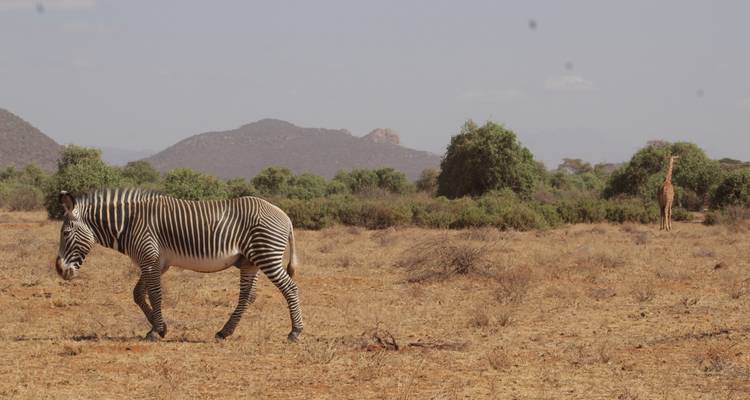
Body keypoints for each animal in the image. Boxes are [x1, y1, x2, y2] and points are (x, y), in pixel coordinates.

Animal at [54, 188, 303, 342]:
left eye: (65, 233)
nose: (60, 270)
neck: (129, 223)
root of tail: (284, 215)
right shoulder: (154, 262)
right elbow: (138, 294)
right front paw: (158, 327)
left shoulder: (150, 258)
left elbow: (155, 294)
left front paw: (157, 331)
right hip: (249, 261)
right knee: (247, 296)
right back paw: (225, 332)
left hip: (267, 255)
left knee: (290, 288)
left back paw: (295, 332)